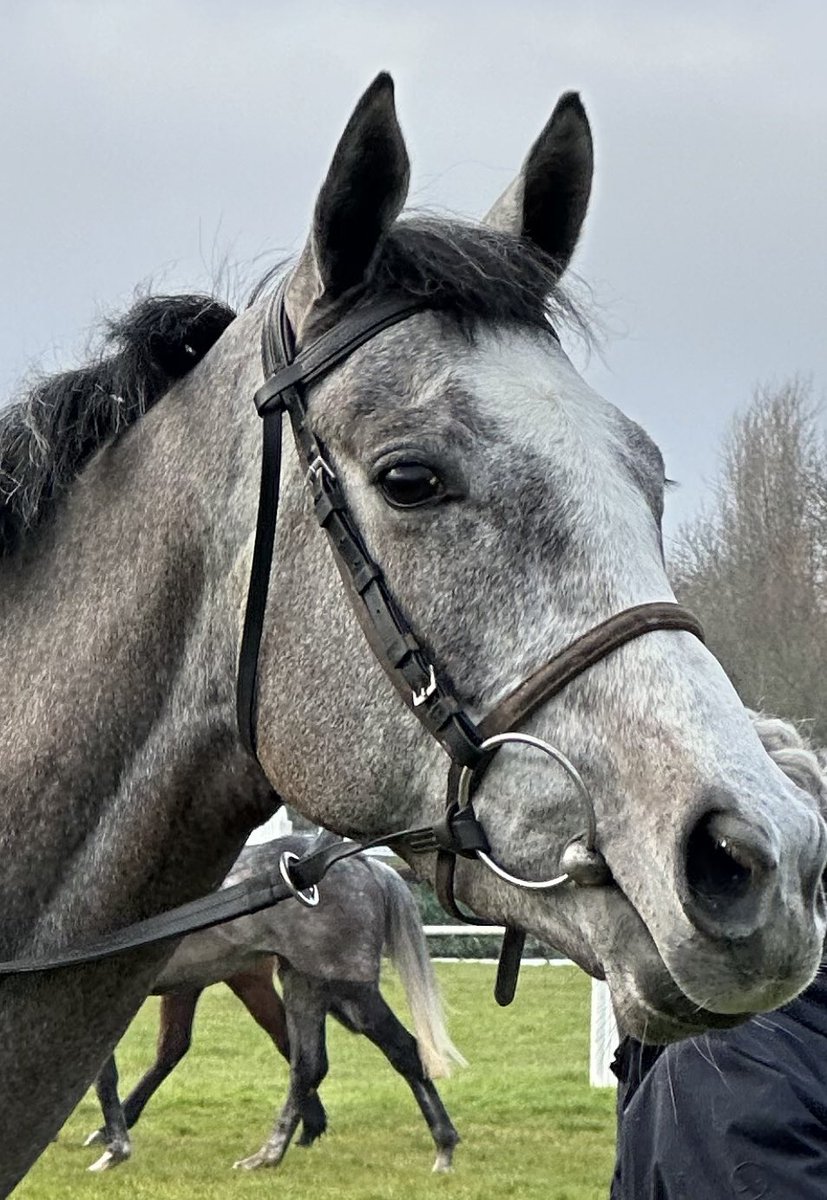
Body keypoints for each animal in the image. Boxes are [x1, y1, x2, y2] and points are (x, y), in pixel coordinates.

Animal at [87, 835, 460, 1171]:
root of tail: (362, 862)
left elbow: (105, 1075)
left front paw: (115, 1148)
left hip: (346, 990)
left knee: (397, 1051)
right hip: (304, 984)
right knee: (311, 1063)